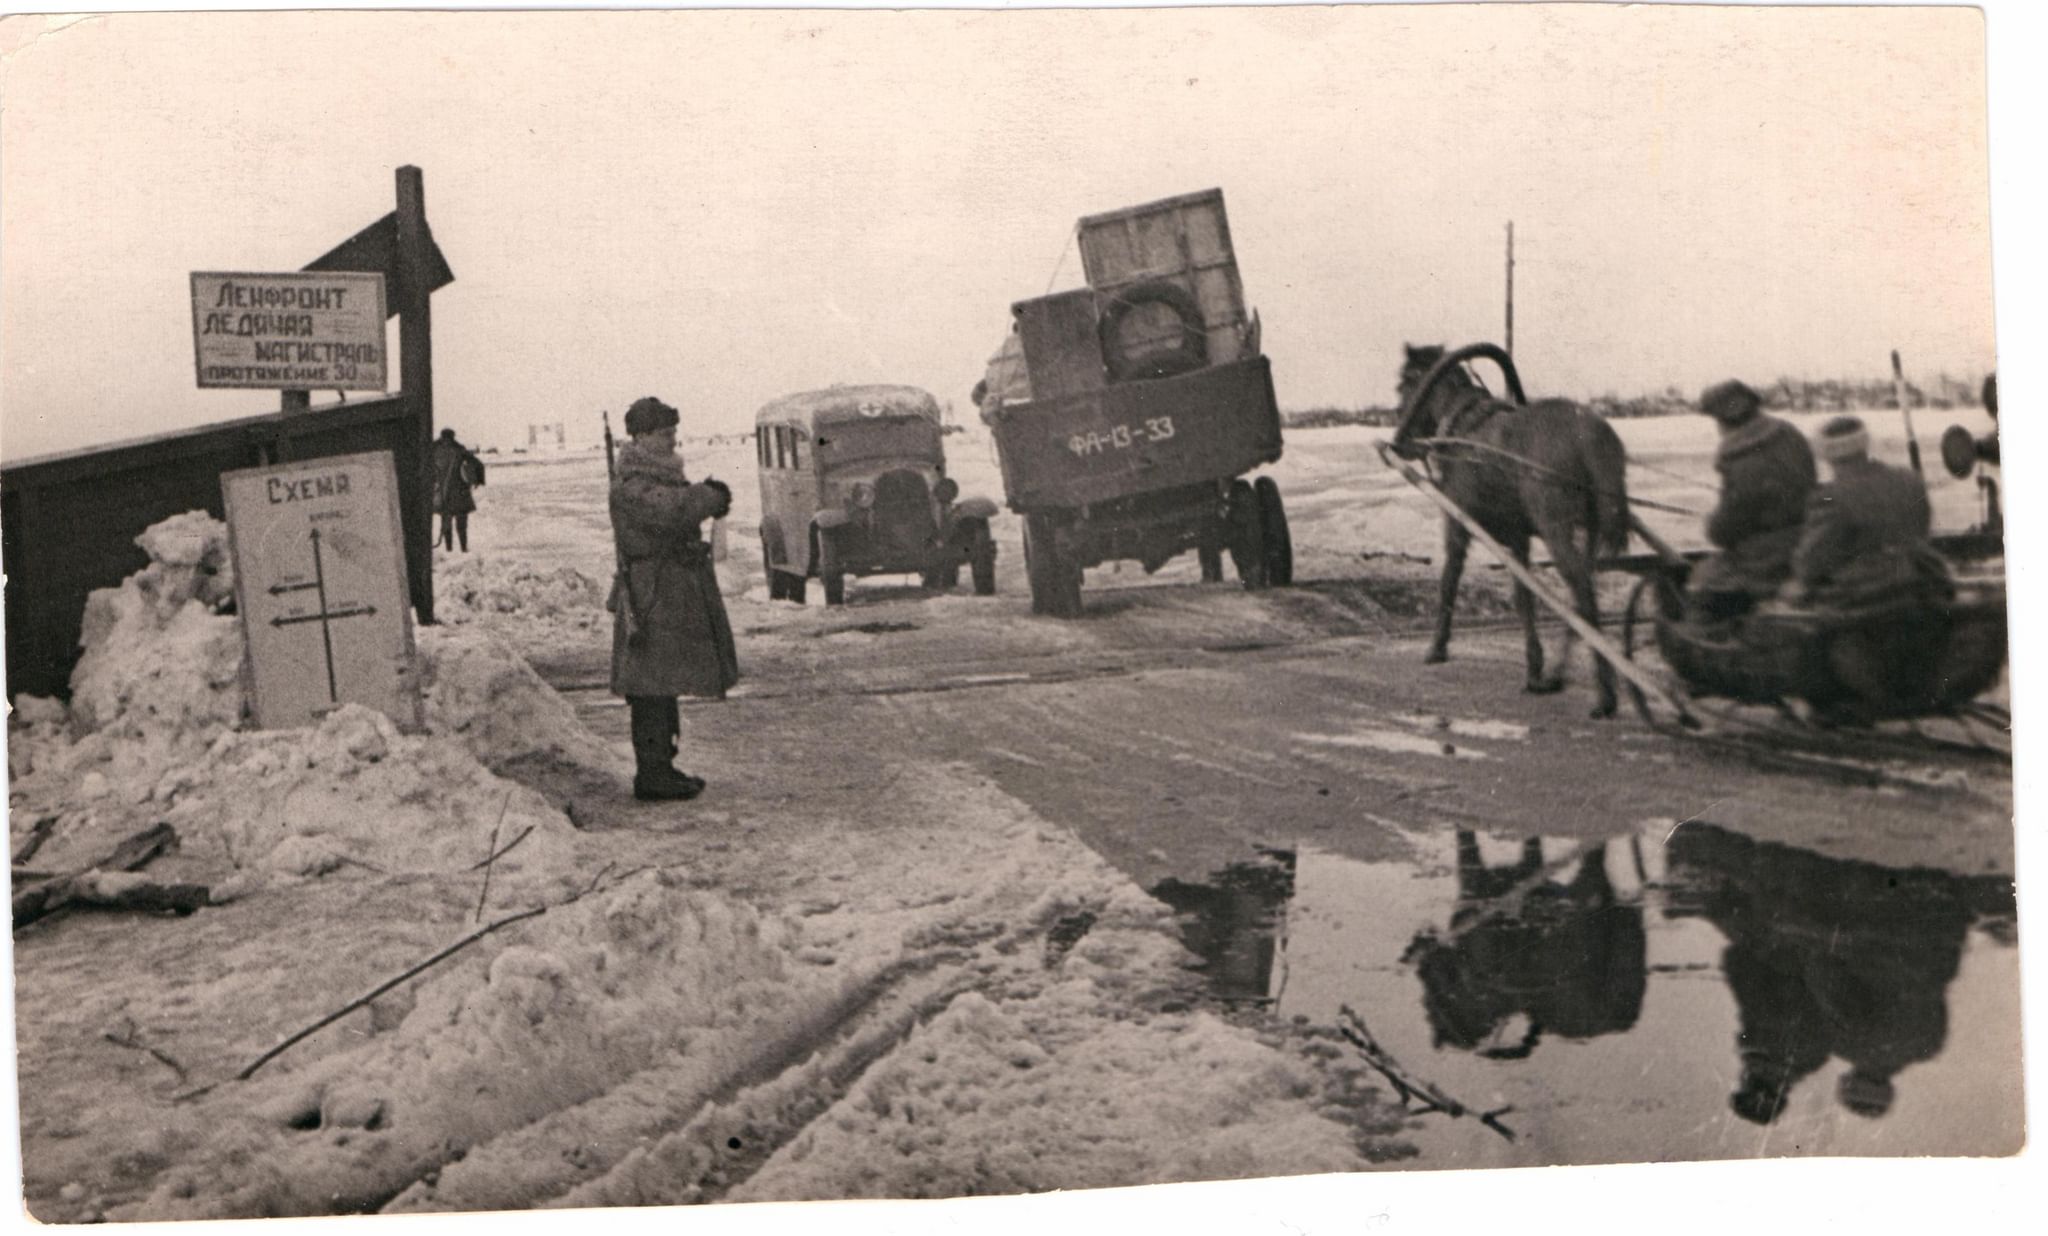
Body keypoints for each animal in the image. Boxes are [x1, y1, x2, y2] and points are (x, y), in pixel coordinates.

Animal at [1392, 343, 1630, 720]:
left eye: (1404, 385)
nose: (1399, 442)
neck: (1462, 428)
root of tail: (1594, 437)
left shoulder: (1458, 523)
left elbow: (1449, 581)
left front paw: (1436, 648)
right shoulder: (1519, 537)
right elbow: (1524, 597)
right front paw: (1534, 668)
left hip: (1555, 526)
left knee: (1581, 591)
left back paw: (1603, 696)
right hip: (1589, 530)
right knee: (1583, 590)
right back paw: (1558, 676)